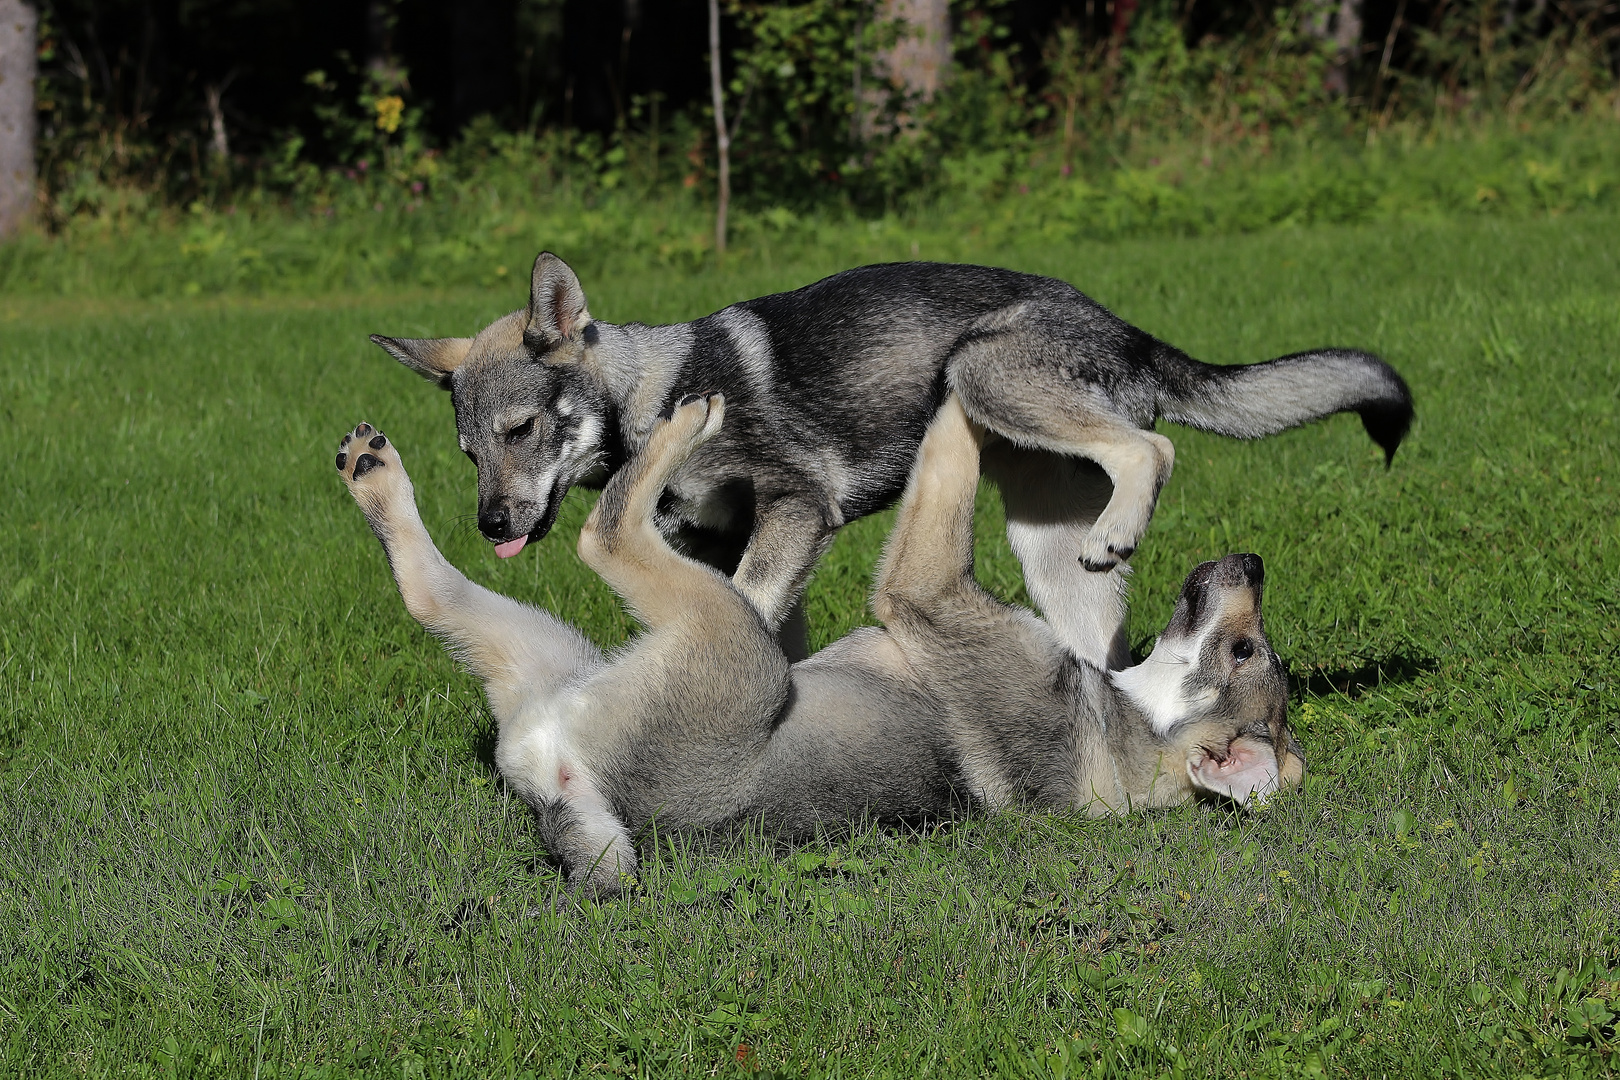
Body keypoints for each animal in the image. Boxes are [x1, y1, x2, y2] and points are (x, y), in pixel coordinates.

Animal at [332, 395, 1302, 893]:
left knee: (603, 536)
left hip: (729, 641)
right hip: (555, 654)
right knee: (429, 589)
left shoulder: (925, 586)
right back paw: (373, 473)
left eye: (1248, 657)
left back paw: (688, 420)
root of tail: (567, 792)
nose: (1254, 560)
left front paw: (962, 381)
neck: (1129, 720)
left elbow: (949, 453)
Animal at [372, 257, 1412, 670]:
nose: (491, 526)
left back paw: (1122, 528)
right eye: (468, 452)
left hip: (985, 373)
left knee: (1151, 447)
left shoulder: (797, 509)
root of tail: (1124, 328)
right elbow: (761, 626)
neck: (651, 398)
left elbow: (744, 608)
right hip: (1046, 550)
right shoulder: (737, 545)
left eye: (521, 430)